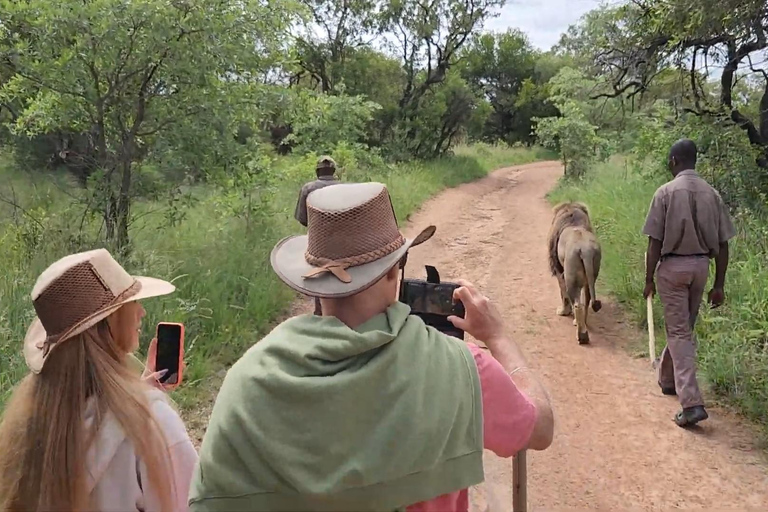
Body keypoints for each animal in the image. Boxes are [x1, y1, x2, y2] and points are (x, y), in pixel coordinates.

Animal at [548, 201, 604, 344]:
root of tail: (585, 250)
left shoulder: (559, 270)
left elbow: (563, 294)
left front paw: (563, 311)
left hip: (571, 278)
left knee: (578, 304)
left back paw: (582, 335)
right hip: (591, 275)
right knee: (587, 300)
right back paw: (581, 323)